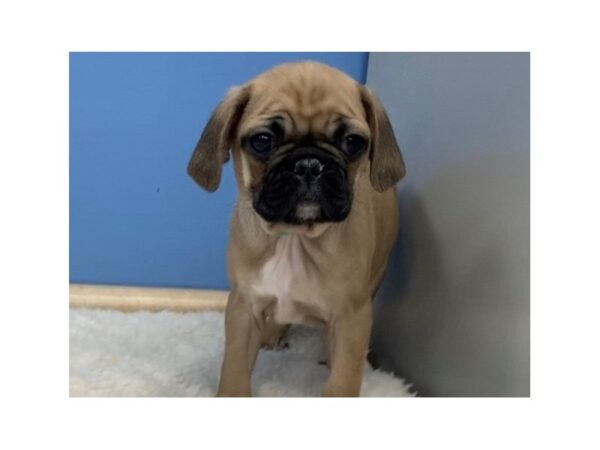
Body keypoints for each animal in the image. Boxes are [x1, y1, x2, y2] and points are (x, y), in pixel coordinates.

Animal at [186, 60, 404, 398]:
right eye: (263, 140)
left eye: (353, 142)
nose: (310, 164)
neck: (294, 237)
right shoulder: (243, 307)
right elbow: (234, 369)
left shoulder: (352, 315)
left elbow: (343, 380)